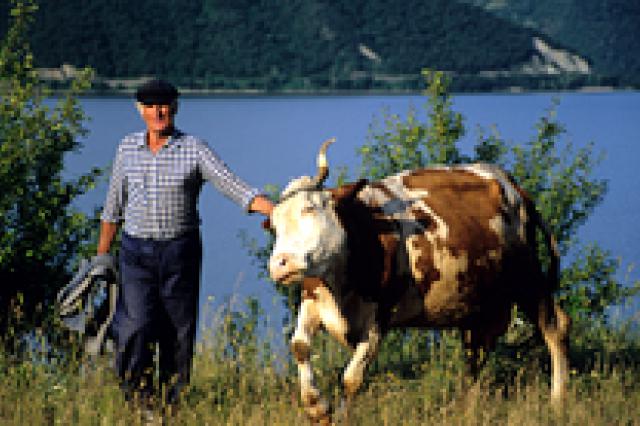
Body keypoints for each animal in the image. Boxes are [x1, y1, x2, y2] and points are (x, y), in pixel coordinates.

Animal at [268, 139, 568, 422]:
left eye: (310, 209)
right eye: (273, 225)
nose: (279, 263)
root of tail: (510, 183)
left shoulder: (379, 318)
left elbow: (352, 378)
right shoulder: (312, 299)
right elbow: (299, 346)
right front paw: (316, 407)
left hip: (526, 275)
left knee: (555, 326)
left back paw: (557, 401)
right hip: (480, 299)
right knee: (477, 350)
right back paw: (466, 409)